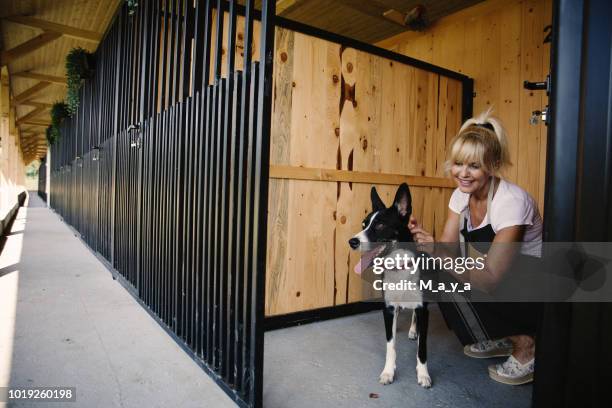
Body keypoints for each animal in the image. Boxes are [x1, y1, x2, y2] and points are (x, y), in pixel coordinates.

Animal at [350, 183, 430, 388]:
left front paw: (423, 374)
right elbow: (390, 345)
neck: (399, 267)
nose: (352, 242)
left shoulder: (423, 308)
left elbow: (422, 347)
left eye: (380, 225)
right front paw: (388, 371)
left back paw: (414, 331)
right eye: (363, 225)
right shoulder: (388, 309)